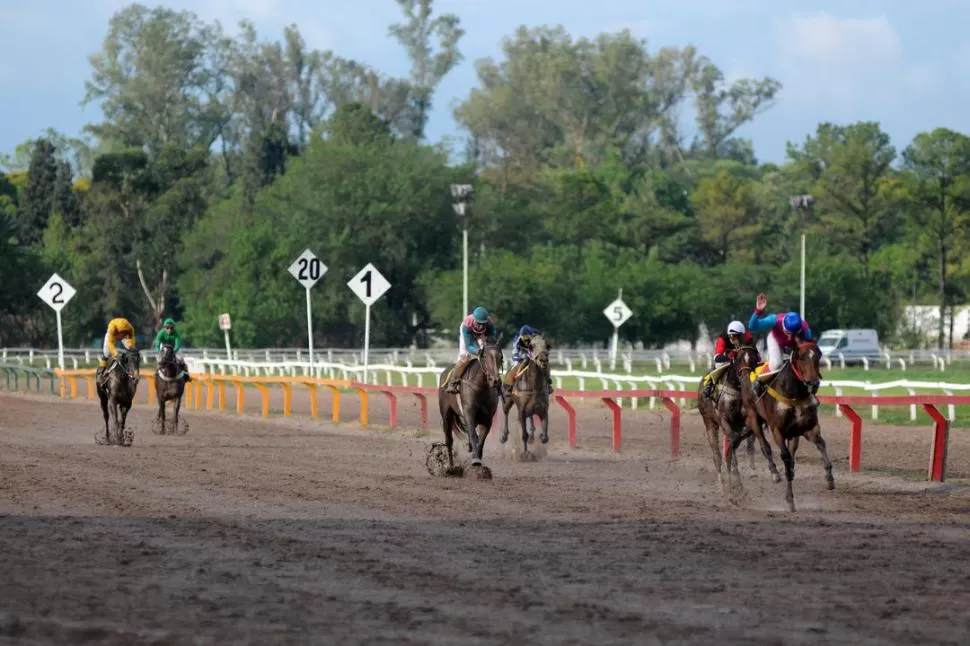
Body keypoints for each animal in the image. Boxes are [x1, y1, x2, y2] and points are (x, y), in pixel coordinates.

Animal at [436, 340, 502, 476]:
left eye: (501, 357)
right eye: (485, 356)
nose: (495, 381)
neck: (481, 387)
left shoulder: (488, 418)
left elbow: (481, 439)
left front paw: (478, 462)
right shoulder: (469, 412)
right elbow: (473, 435)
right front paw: (475, 460)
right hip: (446, 414)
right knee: (449, 440)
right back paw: (451, 467)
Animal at [732, 342, 832, 512]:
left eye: (818, 355)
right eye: (801, 357)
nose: (813, 383)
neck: (794, 393)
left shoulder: (807, 428)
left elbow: (821, 444)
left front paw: (829, 477)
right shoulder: (777, 430)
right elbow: (784, 456)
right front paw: (790, 499)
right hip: (753, 417)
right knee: (764, 445)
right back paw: (773, 472)